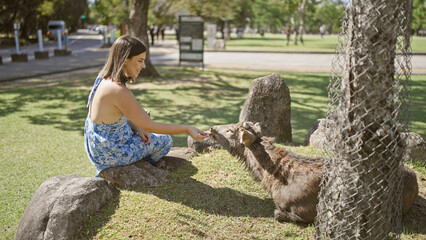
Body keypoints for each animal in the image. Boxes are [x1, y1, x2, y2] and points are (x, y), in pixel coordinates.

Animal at [210, 122, 420, 223]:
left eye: (231, 130)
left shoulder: (307, 209)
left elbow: (280, 214)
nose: (212, 127)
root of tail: (416, 179)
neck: (270, 180)